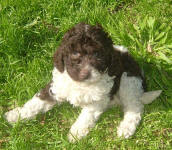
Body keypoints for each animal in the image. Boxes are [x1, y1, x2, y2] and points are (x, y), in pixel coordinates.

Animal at [5, 22, 161, 142]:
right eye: (75, 53)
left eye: (98, 55)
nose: (86, 74)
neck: (81, 84)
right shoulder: (56, 88)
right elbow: (36, 103)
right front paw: (16, 116)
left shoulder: (98, 100)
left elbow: (86, 116)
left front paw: (76, 133)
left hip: (128, 81)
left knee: (135, 107)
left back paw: (126, 128)